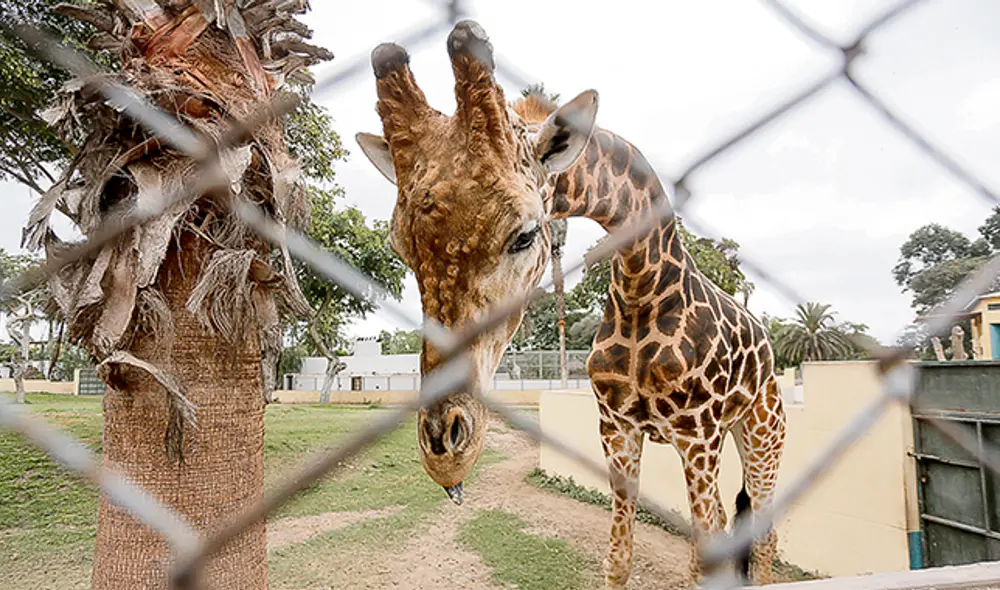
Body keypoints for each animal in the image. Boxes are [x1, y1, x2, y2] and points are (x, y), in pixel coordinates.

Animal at [355, 20, 786, 588]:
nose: (445, 453)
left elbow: (703, 557)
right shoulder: (617, 430)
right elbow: (619, 557)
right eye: (400, 246)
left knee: (763, 535)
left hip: (761, 430)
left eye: (524, 235)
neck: (641, 292)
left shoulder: (697, 436)